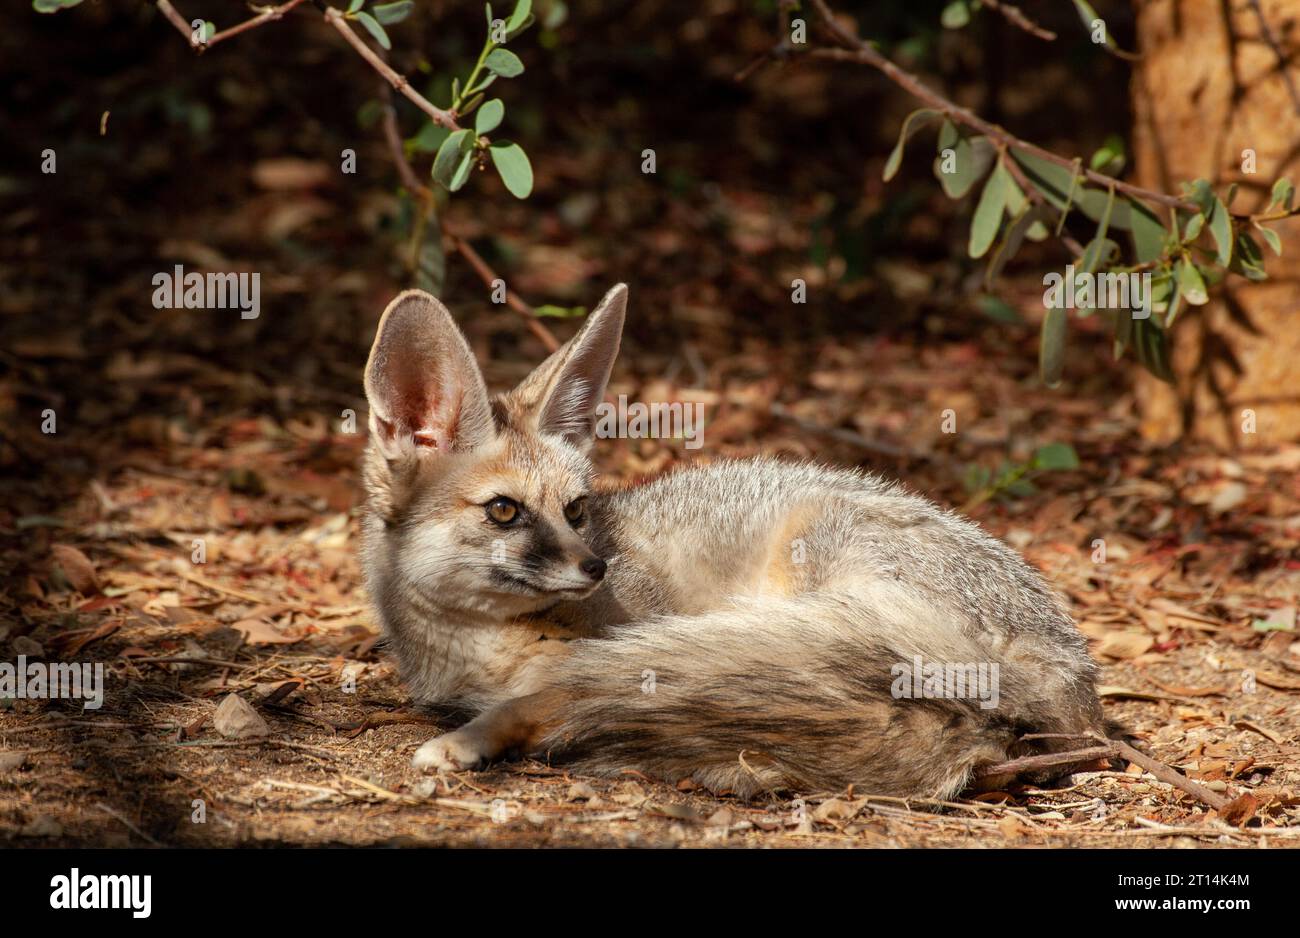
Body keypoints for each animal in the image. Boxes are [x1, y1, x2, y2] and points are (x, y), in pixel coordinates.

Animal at [358, 281, 1107, 795]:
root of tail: (1071, 663)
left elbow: (532, 703)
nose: (597, 567)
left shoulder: (595, 663)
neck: (472, 648)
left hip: (810, 550)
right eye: (505, 511)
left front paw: (468, 741)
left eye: (575, 509)